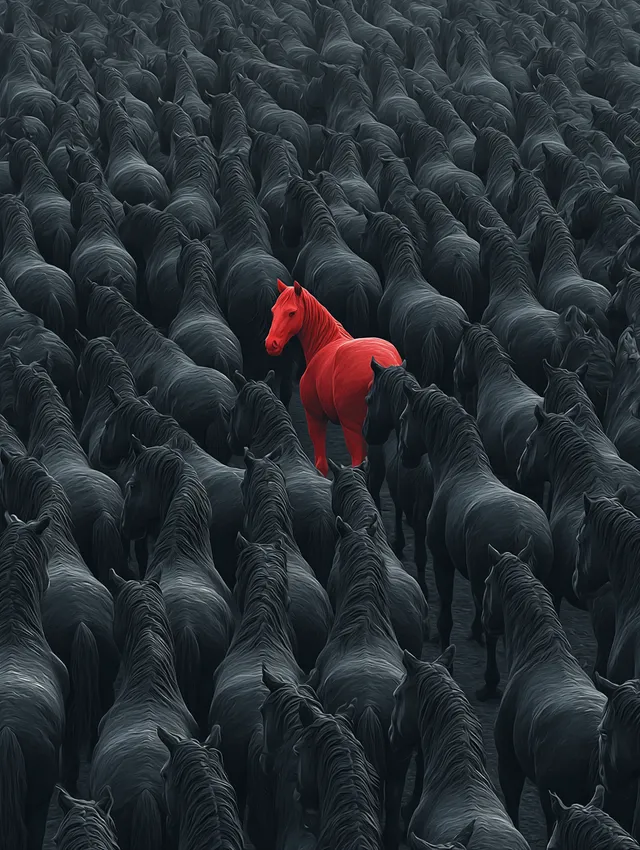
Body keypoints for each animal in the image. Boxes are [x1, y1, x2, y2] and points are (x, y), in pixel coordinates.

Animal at [266, 280, 402, 475]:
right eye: (273, 311)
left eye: (291, 312)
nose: (271, 344)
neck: (325, 343)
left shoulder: (315, 417)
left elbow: (321, 464)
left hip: (352, 429)